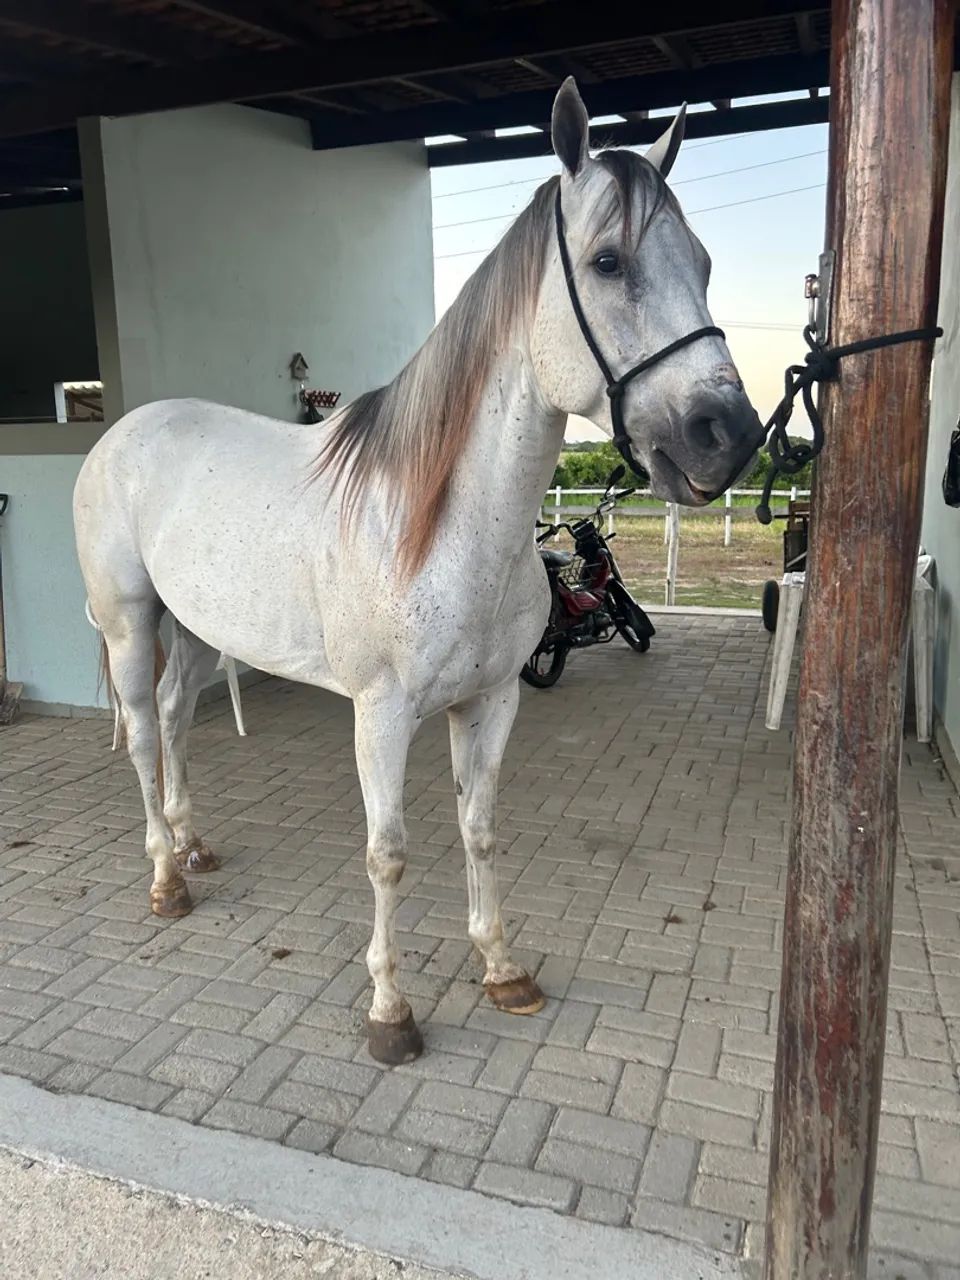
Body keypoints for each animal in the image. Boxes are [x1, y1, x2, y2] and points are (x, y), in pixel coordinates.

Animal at [73, 80, 764, 1064]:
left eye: (703, 263)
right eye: (608, 263)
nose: (728, 436)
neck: (443, 524)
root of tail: (125, 430)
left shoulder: (493, 701)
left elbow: (479, 828)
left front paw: (503, 970)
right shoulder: (382, 714)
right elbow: (388, 852)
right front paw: (390, 1013)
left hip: (200, 627)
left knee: (173, 717)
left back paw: (194, 844)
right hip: (131, 620)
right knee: (139, 730)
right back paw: (167, 878)